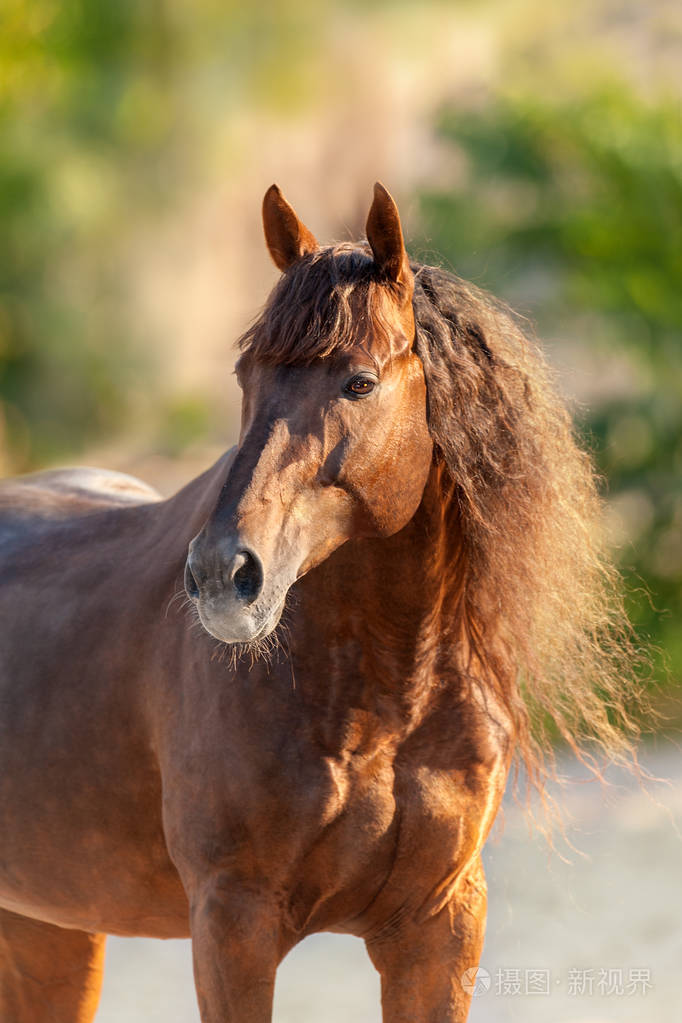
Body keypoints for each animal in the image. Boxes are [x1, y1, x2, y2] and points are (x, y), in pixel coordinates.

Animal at [0, 183, 641, 1022]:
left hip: (52, 931)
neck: (382, 705)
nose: (221, 575)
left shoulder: (438, 926)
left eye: (359, 381)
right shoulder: (233, 923)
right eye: (247, 374)